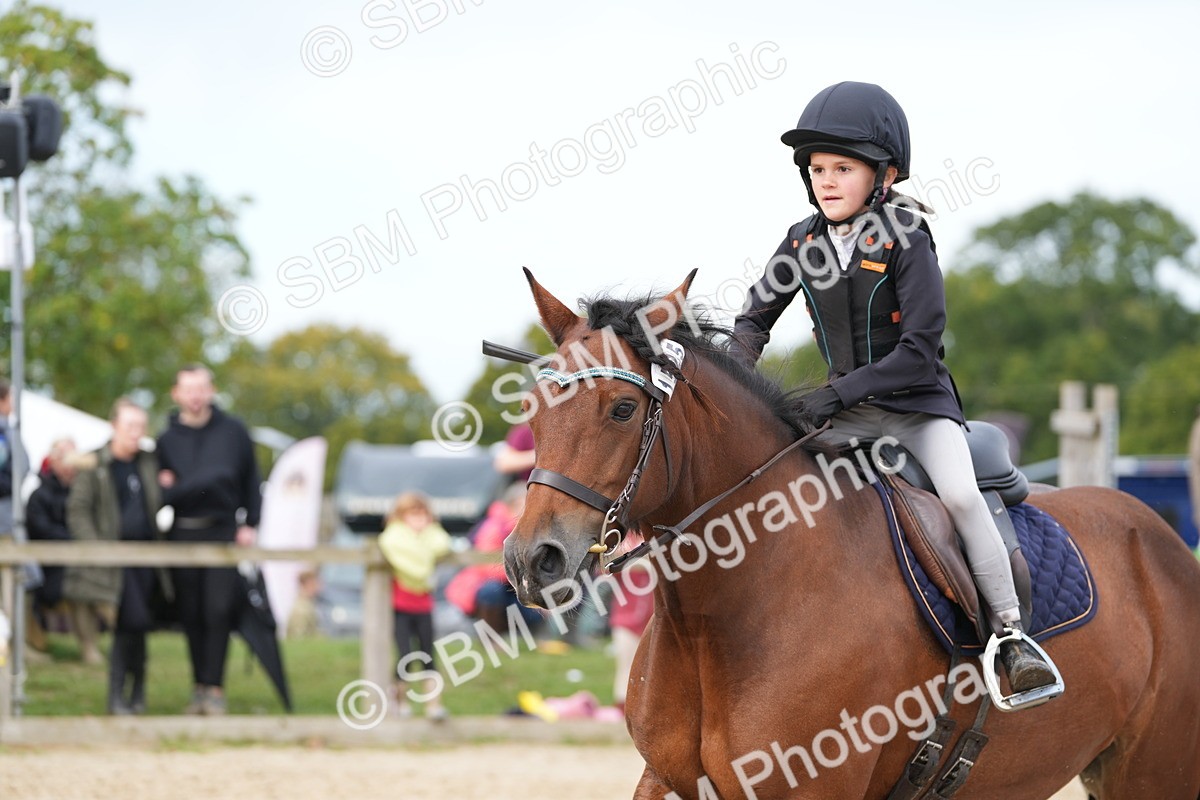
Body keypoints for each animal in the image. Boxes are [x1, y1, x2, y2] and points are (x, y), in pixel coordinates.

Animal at [501, 269, 1200, 799]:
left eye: (622, 409)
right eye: (531, 409)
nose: (532, 561)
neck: (718, 621)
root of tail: (1162, 541)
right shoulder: (665, 779)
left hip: (1153, 774)